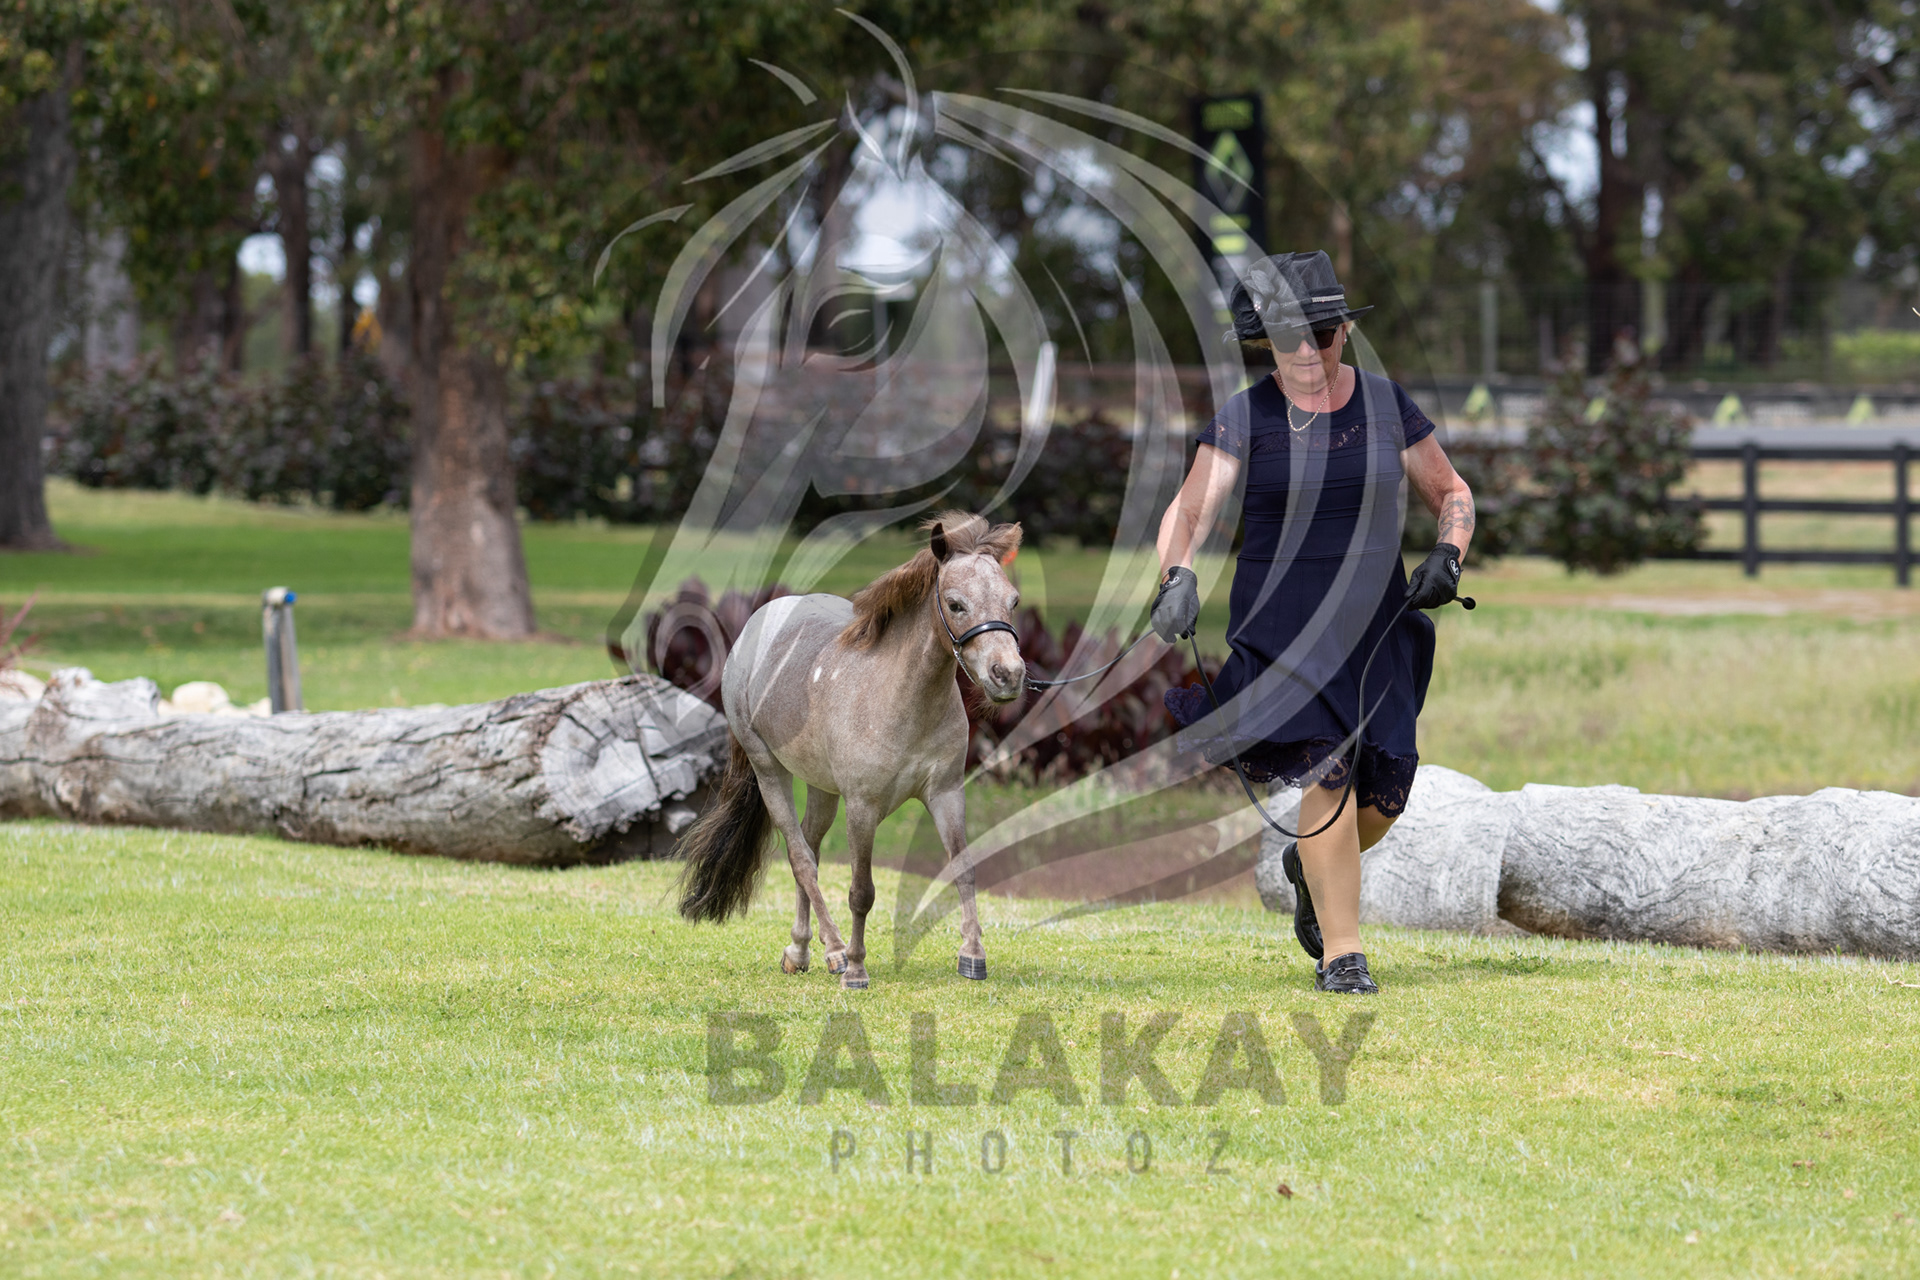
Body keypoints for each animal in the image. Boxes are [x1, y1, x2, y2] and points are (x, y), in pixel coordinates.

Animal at [675, 512, 1026, 989]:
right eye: (955, 604)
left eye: (1013, 601)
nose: (1008, 675)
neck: (902, 698)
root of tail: (750, 631)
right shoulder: (862, 807)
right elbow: (862, 891)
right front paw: (857, 968)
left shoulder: (947, 794)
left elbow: (963, 869)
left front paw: (972, 955)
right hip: (770, 773)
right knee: (801, 858)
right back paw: (836, 950)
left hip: (821, 788)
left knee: (810, 847)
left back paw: (801, 949)